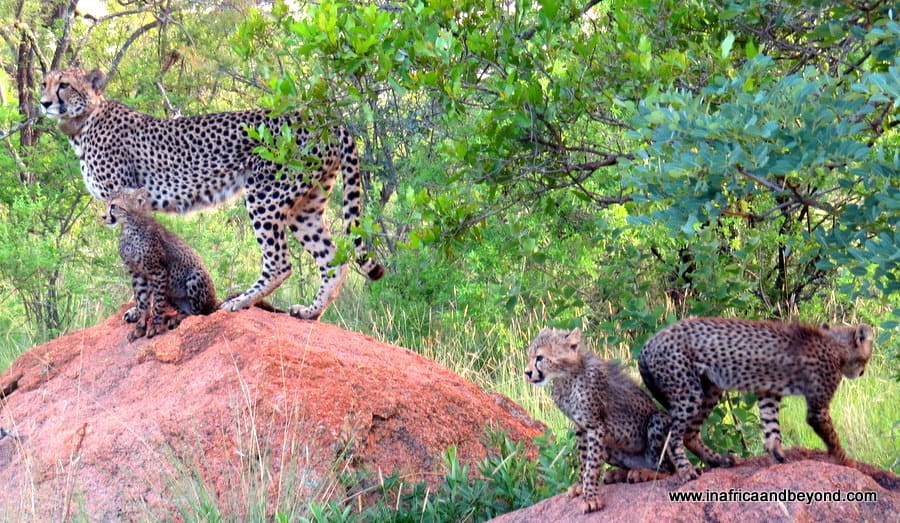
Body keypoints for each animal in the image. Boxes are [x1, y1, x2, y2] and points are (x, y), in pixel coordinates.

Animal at [40, 67, 384, 321]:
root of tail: (320, 118)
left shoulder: (127, 197)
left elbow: (144, 262)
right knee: (332, 257)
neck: (83, 120)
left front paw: (140, 308)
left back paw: (239, 302)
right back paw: (311, 312)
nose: (43, 102)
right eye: (44, 83)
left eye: (64, 85)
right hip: (305, 205)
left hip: (264, 195)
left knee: (280, 262)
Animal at [524, 327, 676, 513]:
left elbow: (592, 465)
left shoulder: (595, 427)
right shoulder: (581, 428)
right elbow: (583, 460)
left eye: (540, 357)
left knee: (667, 468)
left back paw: (644, 472)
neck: (565, 377)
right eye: (529, 356)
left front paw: (590, 497)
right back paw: (621, 474)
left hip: (658, 421)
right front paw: (580, 486)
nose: (527, 373)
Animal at [637, 317, 875, 483]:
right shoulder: (818, 408)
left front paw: (777, 453)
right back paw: (686, 470)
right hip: (689, 393)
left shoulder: (768, 391)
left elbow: (771, 425)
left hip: (710, 390)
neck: (834, 344)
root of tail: (649, 342)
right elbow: (832, 437)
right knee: (673, 433)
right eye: (868, 354)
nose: (862, 372)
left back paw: (720, 460)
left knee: (689, 433)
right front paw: (847, 461)